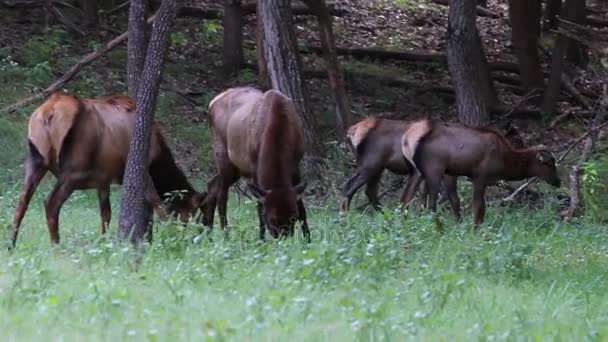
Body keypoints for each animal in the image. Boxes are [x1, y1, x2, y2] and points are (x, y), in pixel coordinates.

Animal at [9, 92, 207, 247]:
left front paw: (104, 241)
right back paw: (56, 245)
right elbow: (156, 205)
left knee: (22, 202)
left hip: (35, 160)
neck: (159, 157)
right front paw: (169, 237)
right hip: (73, 170)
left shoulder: (103, 179)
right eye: (193, 214)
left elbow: (106, 214)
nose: (197, 235)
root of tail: (48, 112)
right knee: (50, 203)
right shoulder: (142, 171)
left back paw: (11, 244)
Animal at [205, 87, 312, 242]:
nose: (284, 240)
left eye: (293, 217)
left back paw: (207, 232)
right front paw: (261, 239)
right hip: (223, 155)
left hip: (237, 168)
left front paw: (308, 239)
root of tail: (211, 103)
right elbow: (259, 206)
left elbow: (302, 206)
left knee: (212, 185)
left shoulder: (296, 164)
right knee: (221, 194)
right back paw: (225, 234)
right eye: (271, 219)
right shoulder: (254, 167)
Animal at [402, 119, 564, 226]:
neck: (505, 163)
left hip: (420, 171)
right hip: (434, 170)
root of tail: (408, 140)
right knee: (430, 203)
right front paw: (476, 229)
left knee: (408, 197)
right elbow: (479, 206)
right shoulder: (480, 176)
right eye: (549, 163)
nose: (558, 181)